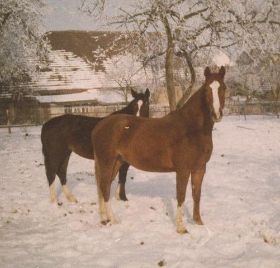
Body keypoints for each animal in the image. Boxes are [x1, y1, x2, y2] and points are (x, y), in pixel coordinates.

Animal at [93, 67, 226, 234]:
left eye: (223, 87)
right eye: (207, 89)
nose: (216, 114)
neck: (192, 129)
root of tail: (99, 126)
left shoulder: (200, 168)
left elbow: (197, 194)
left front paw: (198, 222)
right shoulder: (183, 170)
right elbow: (181, 195)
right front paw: (181, 228)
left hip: (116, 162)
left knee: (104, 186)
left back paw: (105, 219)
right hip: (107, 162)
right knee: (104, 187)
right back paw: (113, 219)